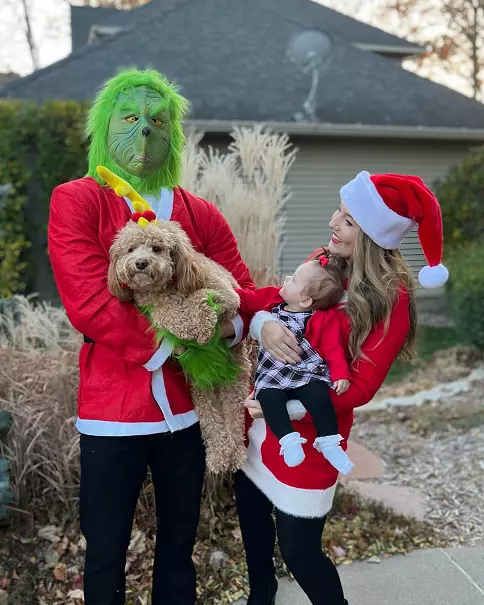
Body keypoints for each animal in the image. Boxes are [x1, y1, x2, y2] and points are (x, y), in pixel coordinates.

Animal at [106, 219, 250, 474]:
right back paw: (219, 457)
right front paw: (190, 327)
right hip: (202, 392)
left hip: (235, 383)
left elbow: (201, 296)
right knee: (213, 424)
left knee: (234, 421)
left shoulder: (228, 295)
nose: (140, 263)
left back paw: (234, 456)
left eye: (157, 248)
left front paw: (202, 326)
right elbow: (170, 316)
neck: (169, 287)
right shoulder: (155, 308)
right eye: (131, 249)